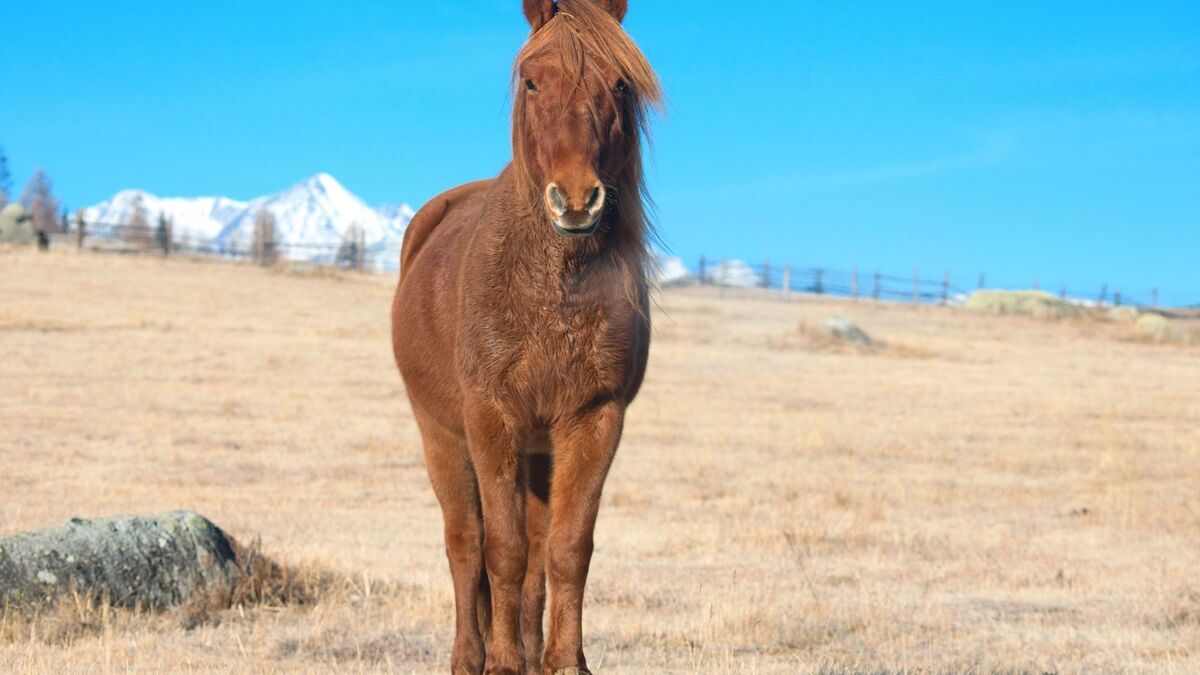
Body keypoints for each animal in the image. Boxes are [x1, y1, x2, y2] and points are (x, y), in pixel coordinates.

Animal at [391, 2, 662, 667]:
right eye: (533, 81)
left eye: (621, 84)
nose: (577, 199)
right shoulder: (491, 417)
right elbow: (502, 549)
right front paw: (504, 661)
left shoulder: (594, 417)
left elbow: (566, 548)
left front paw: (564, 662)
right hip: (441, 433)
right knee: (465, 544)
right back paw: (470, 657)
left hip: (539, 451)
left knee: (537, 555)